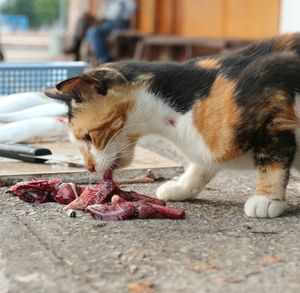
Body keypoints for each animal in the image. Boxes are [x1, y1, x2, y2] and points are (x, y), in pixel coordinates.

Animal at [46, 33, 300, 217]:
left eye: (88, 137)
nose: (89, 168)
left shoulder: (274, 97)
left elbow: (272, 160)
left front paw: (266, 198)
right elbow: (201, 166)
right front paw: (181, 187)